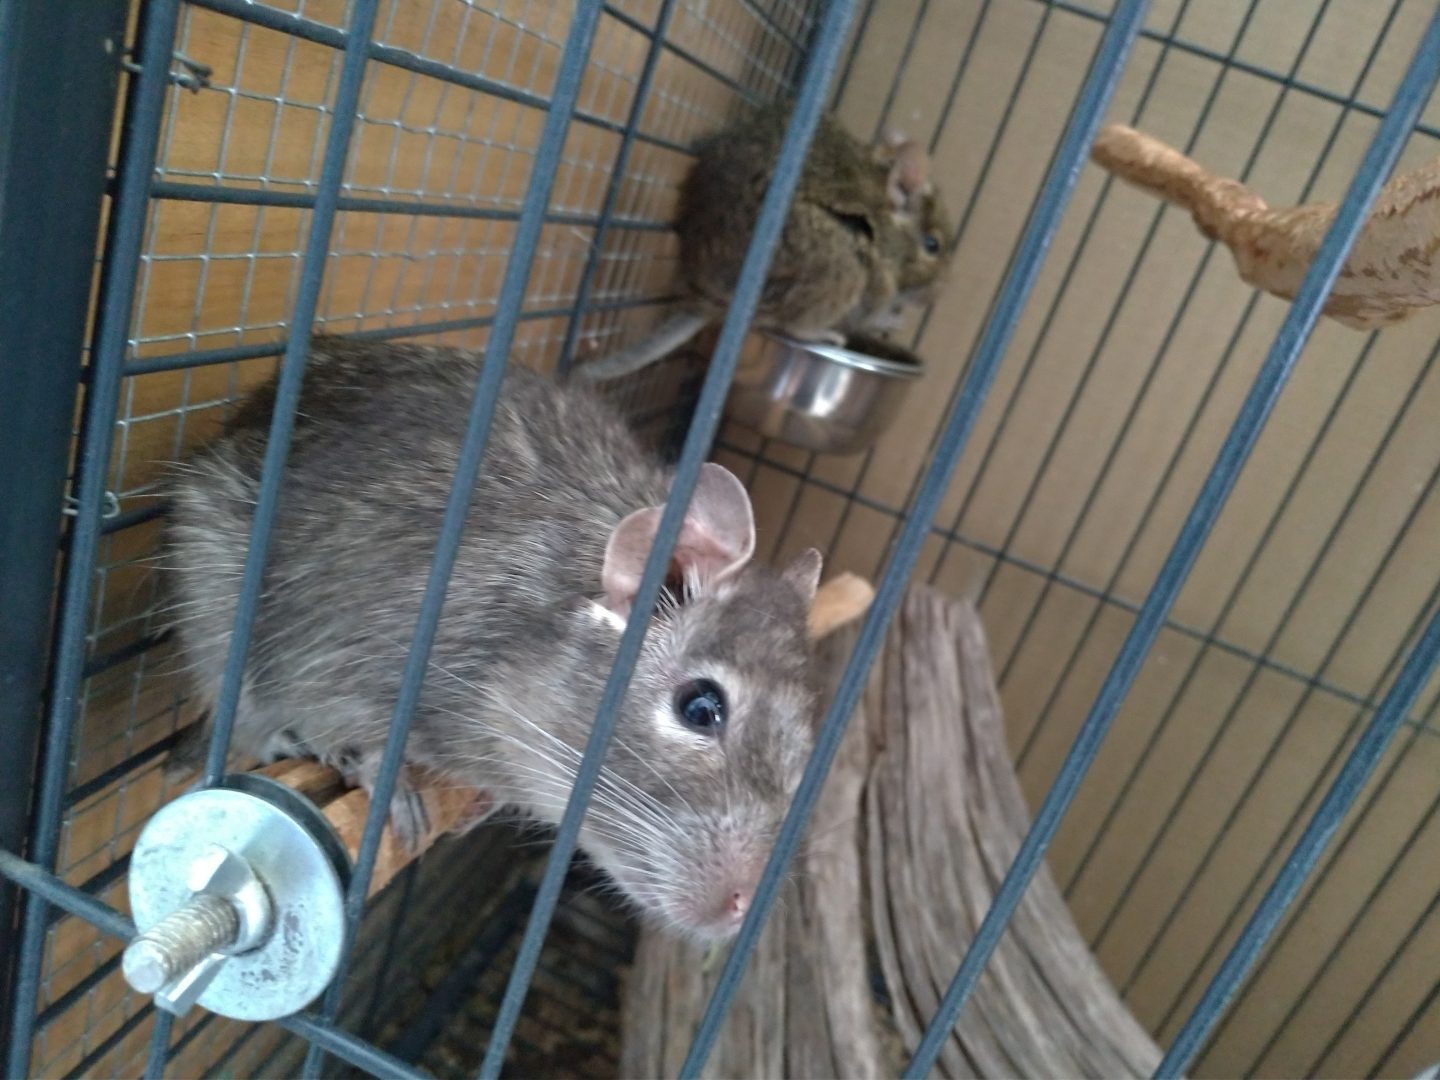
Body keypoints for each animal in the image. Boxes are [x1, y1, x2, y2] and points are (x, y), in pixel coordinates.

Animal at [163, 337, 822, 941]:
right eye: (701, 708)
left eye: (807, 744)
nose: (741, 906)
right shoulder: (347, 651)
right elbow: (349, 721)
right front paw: (385, 779)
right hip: (212, 584)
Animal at [574, 102, 955, 383]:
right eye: (932, 245)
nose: (936, 297)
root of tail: (705, 301)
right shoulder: (873, 289)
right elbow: (870, 317)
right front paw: (892, 321)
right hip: (842, 264)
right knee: (792, 324)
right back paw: (825, 335)